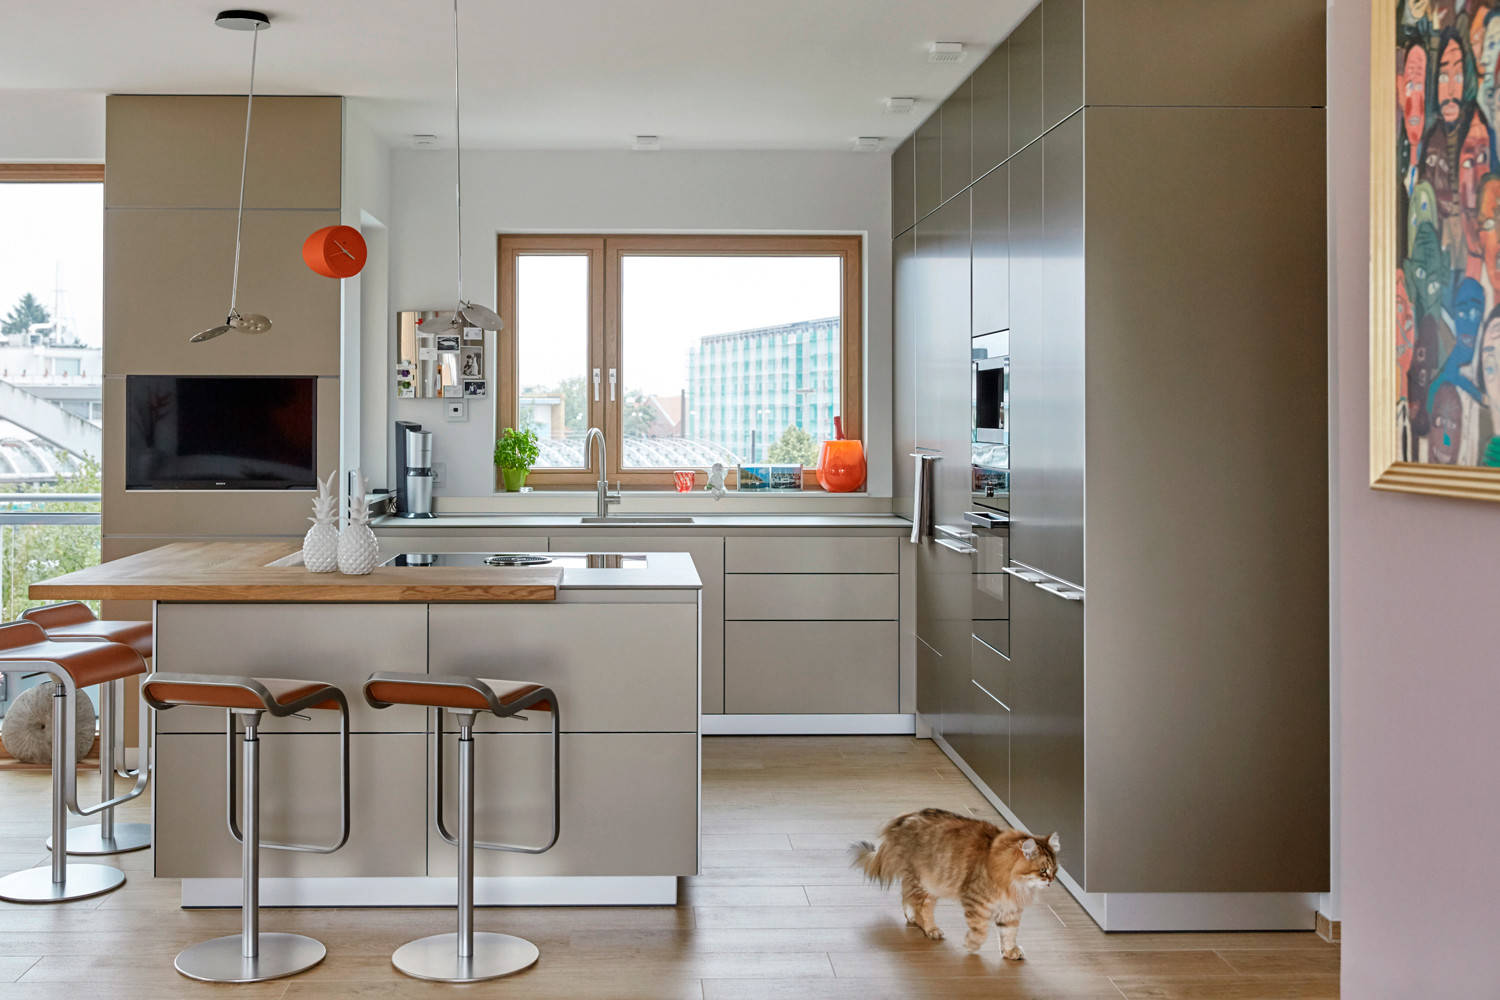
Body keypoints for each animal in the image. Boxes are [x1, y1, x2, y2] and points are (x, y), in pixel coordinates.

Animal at [851, 808, 1059, 960]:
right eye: (1043, 871)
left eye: (1055, 871)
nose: (1051, 881)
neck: (1016, 885)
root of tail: (905, 818)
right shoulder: (976, 901)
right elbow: (981, 929)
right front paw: (972, 944)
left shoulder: (1010, 910)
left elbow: (1009, 933)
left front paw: (1010, 952)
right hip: (925, 883)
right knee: (921, 907)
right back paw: (931, 929)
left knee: (906, 895)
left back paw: (911, 917)